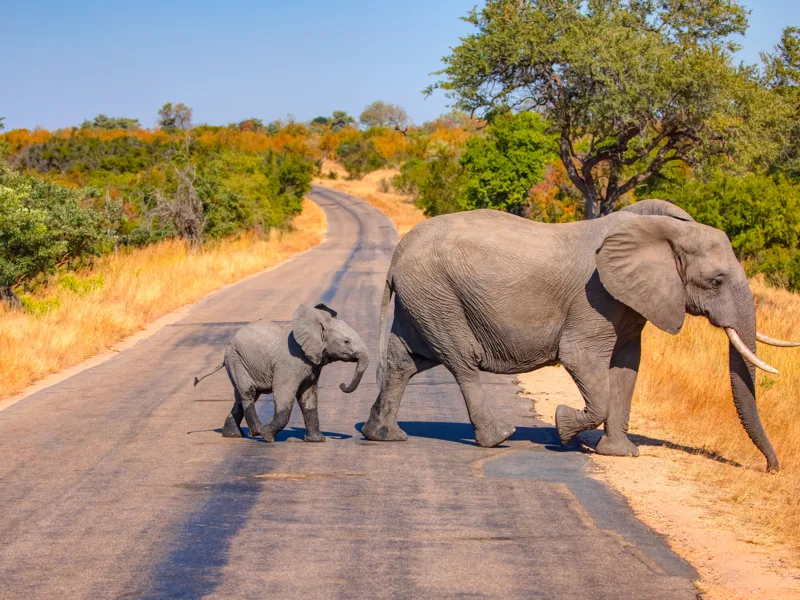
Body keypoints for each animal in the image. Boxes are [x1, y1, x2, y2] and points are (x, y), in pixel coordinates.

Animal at [194, 303, 369, 442]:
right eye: (346, 341)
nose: (342, 384)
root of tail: (228, 345)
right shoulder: (289, 363)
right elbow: (284, 392)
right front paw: (267, 436)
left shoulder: (312, 365)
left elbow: (308, 396)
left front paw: (317, 440)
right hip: (236, 359)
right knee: (248, 392)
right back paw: (257, 431)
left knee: (241, 396)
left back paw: (232, 435)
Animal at [361, 199, 797, 471]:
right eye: (716, 280)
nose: (771, 469)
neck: (661, 232)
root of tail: (397, 256)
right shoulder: (596, 298)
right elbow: (580, 358)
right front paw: (563, 426)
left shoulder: (628, 304)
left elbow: (626, 369)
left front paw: (620, 454)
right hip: (439, 296)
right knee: (462, 361)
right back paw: (500, 437)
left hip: (423, 299)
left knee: (404, 362)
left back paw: (383, 436)